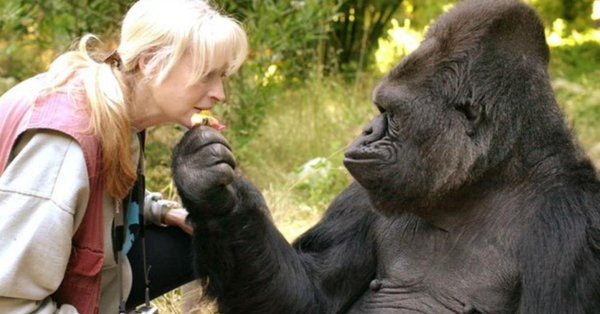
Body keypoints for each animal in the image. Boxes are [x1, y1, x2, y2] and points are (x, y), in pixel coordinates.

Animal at [170, 1, 600, 312]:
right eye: (380, 109)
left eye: (390, 114)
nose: (366, 131)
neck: (486, 179)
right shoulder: (364, 194)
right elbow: (310, 296)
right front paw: (209, 189)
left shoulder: (574, 230)